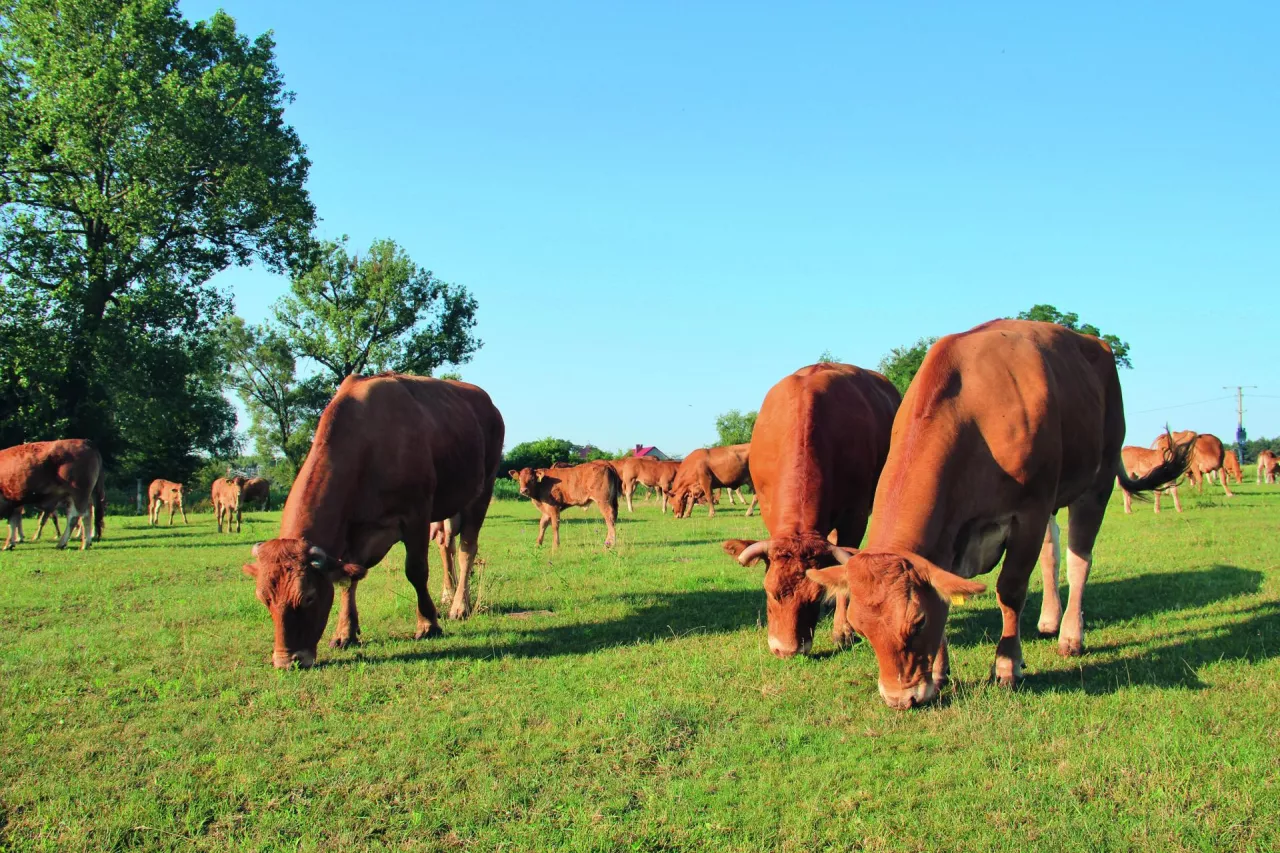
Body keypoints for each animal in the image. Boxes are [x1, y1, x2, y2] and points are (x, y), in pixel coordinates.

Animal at [808, 318, 1187, 701]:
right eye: (860, 627)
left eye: (918, 622)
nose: (900, 698)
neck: (973, 418)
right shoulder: (953, 532)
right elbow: (947, 591)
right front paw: (940, 672)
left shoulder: (1029, 512)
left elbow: (1011, 590)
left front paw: (1007, 665)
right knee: (1052, 552)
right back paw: (1049, 620)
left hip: (1097, 482)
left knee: (1080, 559)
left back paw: (1070, 635)